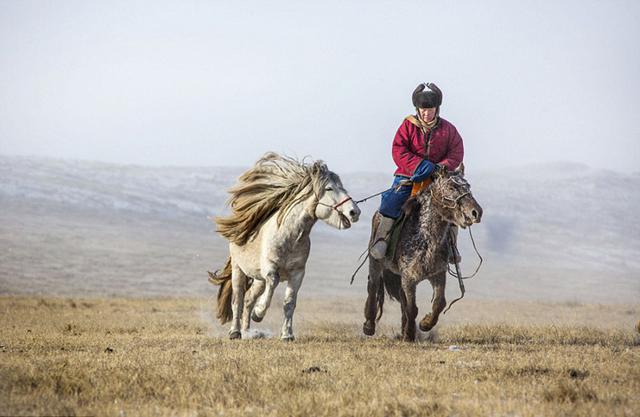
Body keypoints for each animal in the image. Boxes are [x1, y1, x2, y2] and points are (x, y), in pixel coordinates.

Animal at [209, 152, 361, 340]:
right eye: (329, 189)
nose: (354, 212)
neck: (290, 236)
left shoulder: (297, 273)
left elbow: (289, 303)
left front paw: (287, 334)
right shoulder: (271, 270)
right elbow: (271, 288)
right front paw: (259, 314)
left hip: (258, 278)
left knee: (249, 299)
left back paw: (247, 332)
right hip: (239, 270)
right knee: (238, 299)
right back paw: (235, 332)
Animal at [362, 165, 483, 341]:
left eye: (468, 186)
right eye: (451, 187)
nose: (476, 212)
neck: (426, 238)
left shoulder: (437, 274)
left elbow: (439, 302)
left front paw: (424, 324)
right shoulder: (409, 278)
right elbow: (412, 308)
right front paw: (409, 335)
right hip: (376, 262)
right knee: (373, 286)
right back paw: (369, 326)